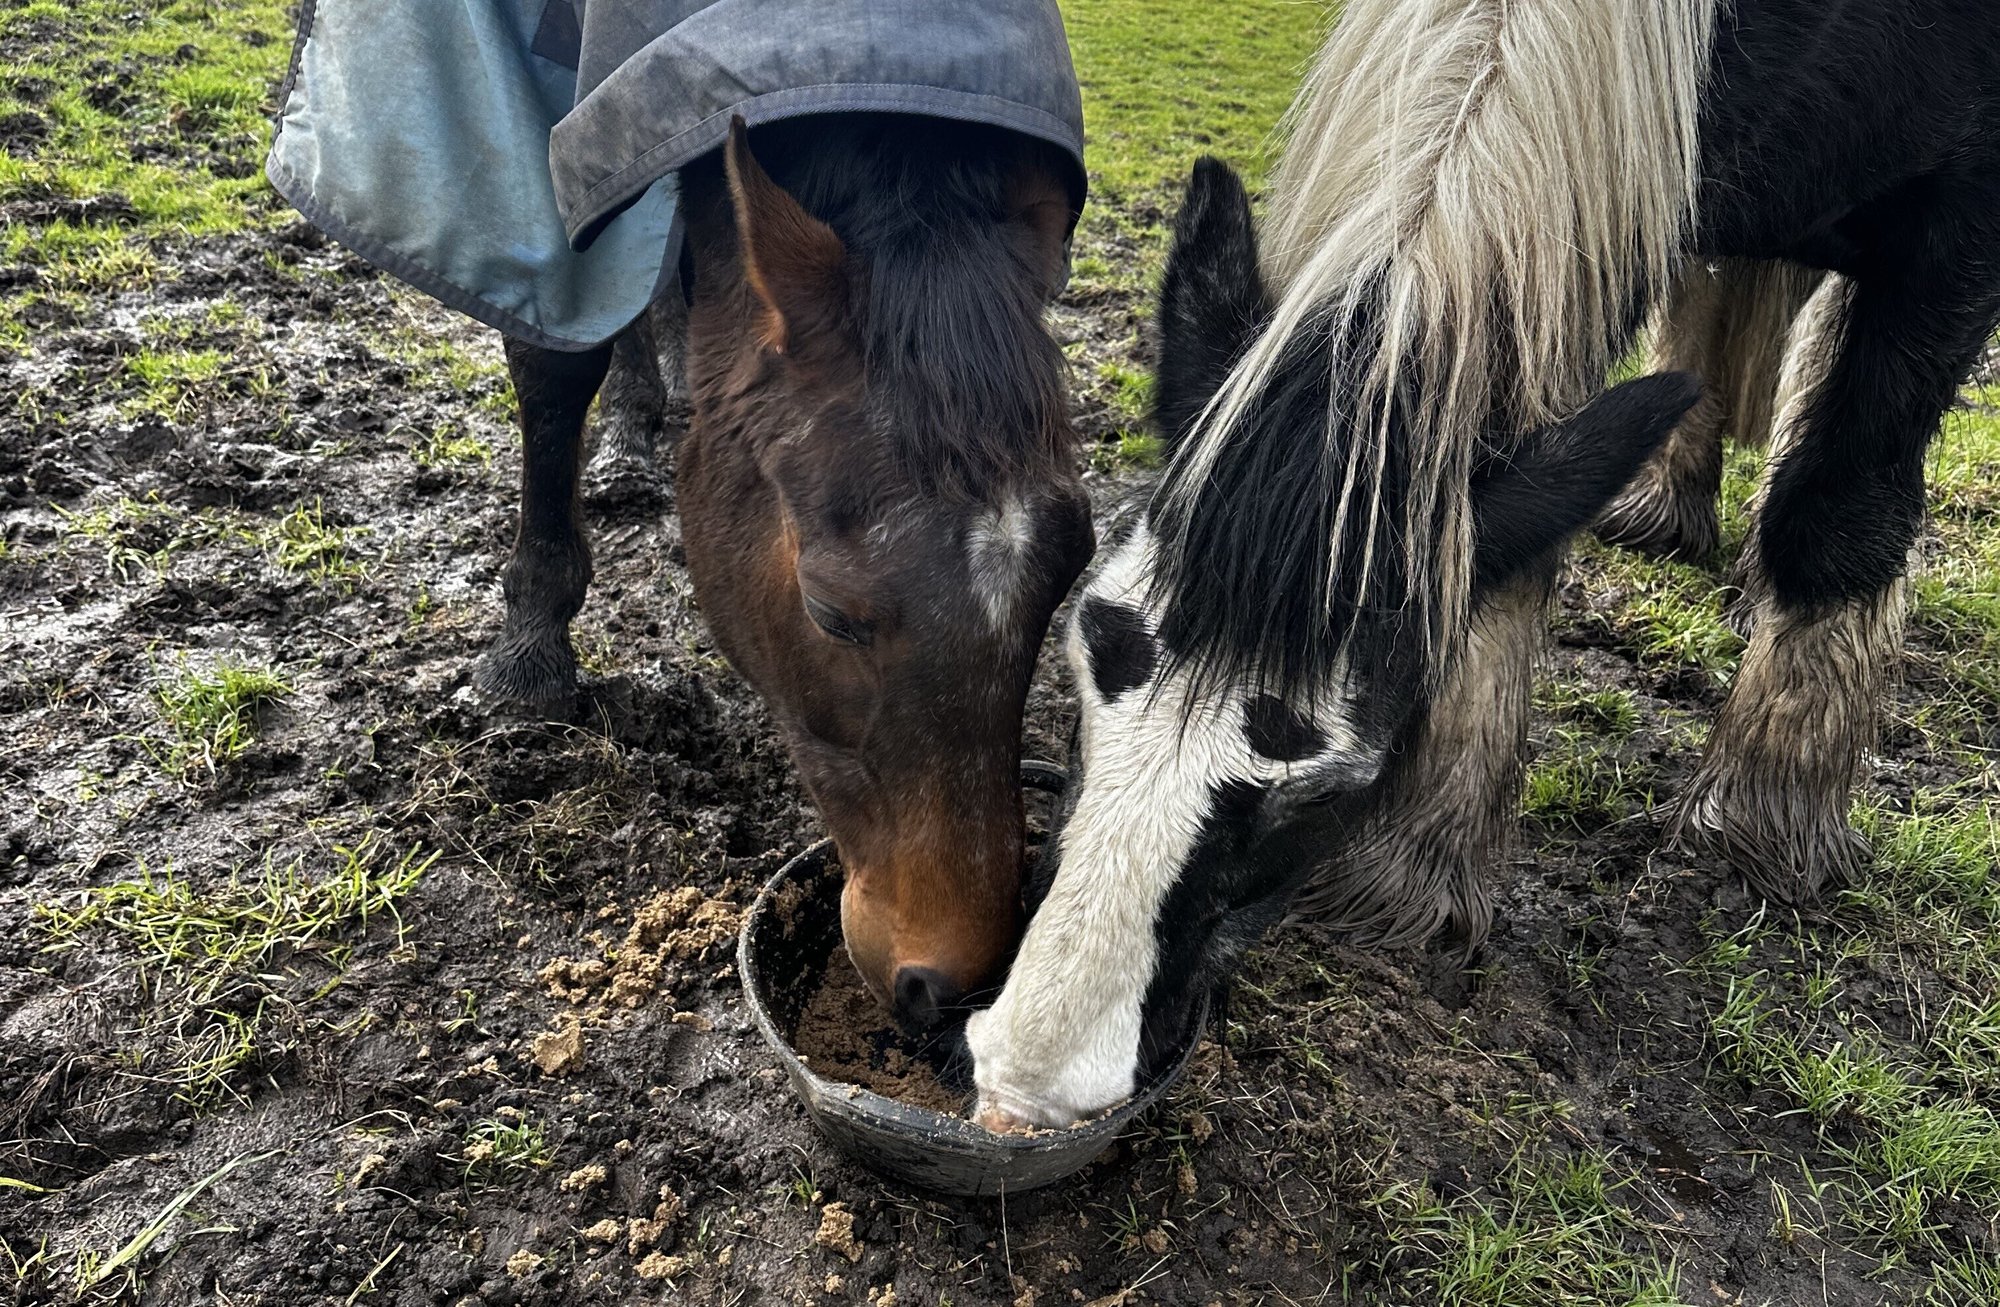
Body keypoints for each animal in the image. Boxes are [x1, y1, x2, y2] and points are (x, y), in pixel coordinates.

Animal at [968, 0, 2000, 1135]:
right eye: (1078, 664)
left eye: (1325, 790)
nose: (1026, 1079)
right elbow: (1506, 552)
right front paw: (1420, 867)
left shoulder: (1958, 231)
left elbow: (1838, 514)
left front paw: (1761, 825)